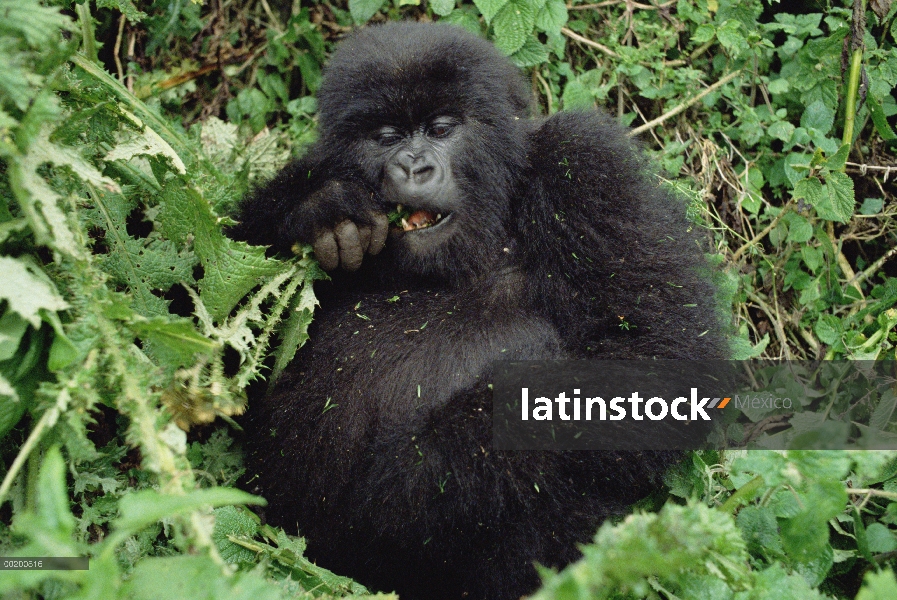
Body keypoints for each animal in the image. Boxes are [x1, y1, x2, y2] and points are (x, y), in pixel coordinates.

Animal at [231, 19, 728, 600]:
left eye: (442, 129)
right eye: (387, 136)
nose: (414, 166)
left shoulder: (585, 164)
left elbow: (652, 357)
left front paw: (409, 483)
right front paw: (316, 207)